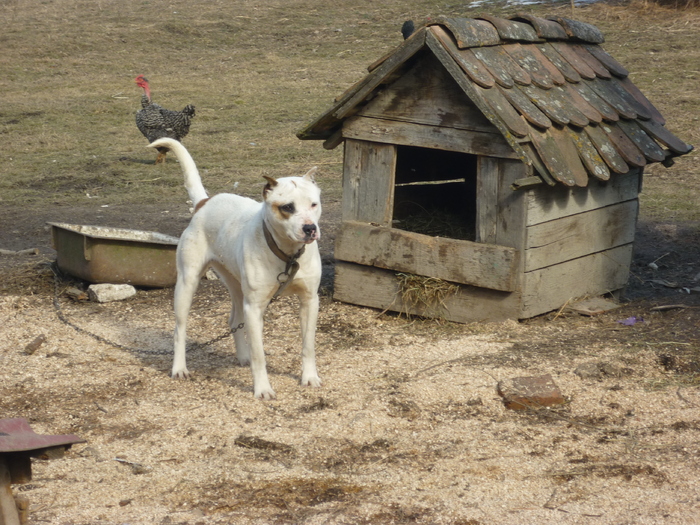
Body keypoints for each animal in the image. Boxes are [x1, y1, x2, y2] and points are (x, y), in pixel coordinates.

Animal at [149, 137, 324, 400]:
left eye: (314, 204)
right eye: (287, 207)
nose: (310, 229)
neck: (288, 254)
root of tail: (204, 202)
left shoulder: (309, 301)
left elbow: (308, 346)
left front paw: (309, 377)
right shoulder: (255, 308)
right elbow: (259, 355)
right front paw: (262, 389)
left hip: (236, 286)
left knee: (233, 320)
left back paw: (242, 356)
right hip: (187, 284)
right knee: (180, 329)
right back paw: (179, 368)